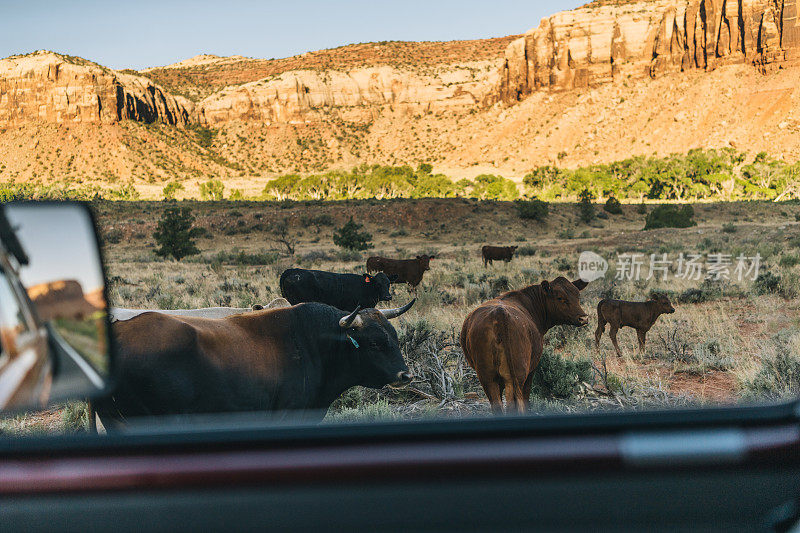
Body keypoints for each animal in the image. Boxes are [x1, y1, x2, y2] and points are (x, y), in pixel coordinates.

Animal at [462, 276, 588, 414]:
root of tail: (499, 313)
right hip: (516, 375)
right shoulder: (531, 370)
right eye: (560, 297)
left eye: (578, 295)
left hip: (488, 377)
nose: (583, 318)